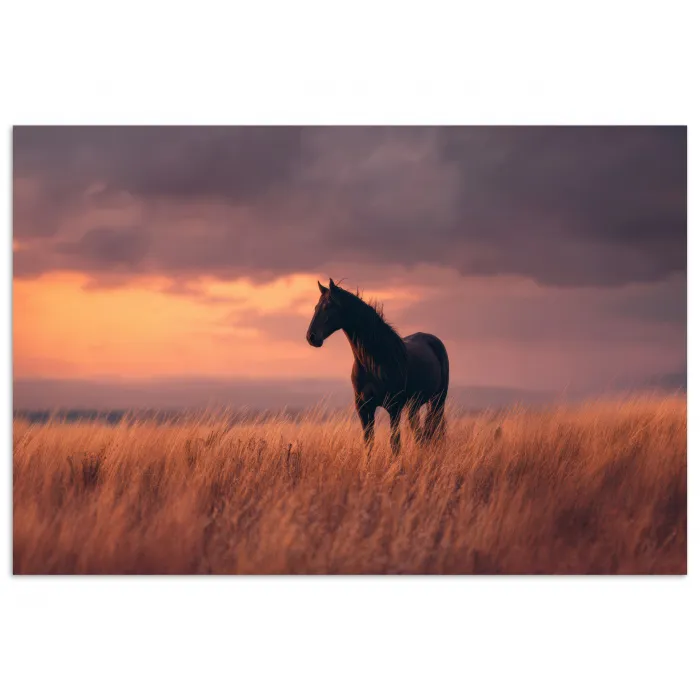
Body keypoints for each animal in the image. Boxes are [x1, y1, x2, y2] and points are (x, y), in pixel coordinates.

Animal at [306, 278, 449, 456]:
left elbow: (395, 443)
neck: (375, 362)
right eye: (315, 307)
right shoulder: (363, 408)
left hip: (437, 401)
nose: (311, 337)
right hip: (414, 405)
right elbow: (369, 443)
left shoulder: (394, 408)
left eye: (327, 307)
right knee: (420, 434)